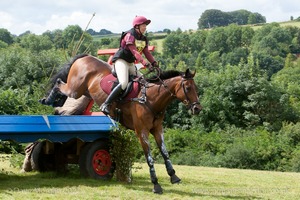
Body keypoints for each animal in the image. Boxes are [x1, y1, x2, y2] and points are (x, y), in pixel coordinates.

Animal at [40, 54, 202, 194]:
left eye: (196, 88)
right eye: (188, 88)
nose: (197, 109)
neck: (151, 99)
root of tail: (85, 57)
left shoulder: (157, 129)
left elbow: (165, 153)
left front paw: (174, 176)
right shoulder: (141, 132)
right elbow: (149, 157)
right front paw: (156, 185)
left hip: (85, 92)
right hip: (75, 89)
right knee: (60, 84)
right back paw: (48, 100)